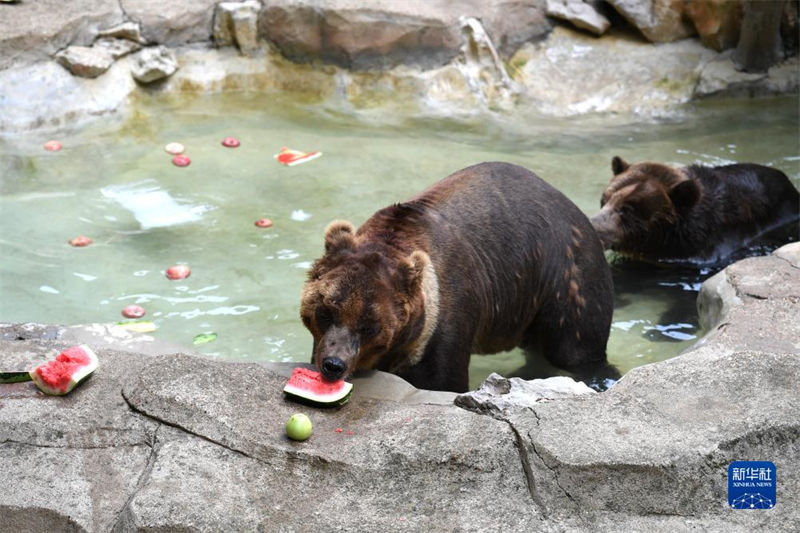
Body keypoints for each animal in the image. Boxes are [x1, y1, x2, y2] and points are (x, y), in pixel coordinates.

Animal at [300, 161, 612, 390]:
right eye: (325, 311)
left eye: (369, 326)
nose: (334, 364)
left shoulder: (444, 323)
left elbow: (444, 380)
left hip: (567, 279)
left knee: (575, 347)